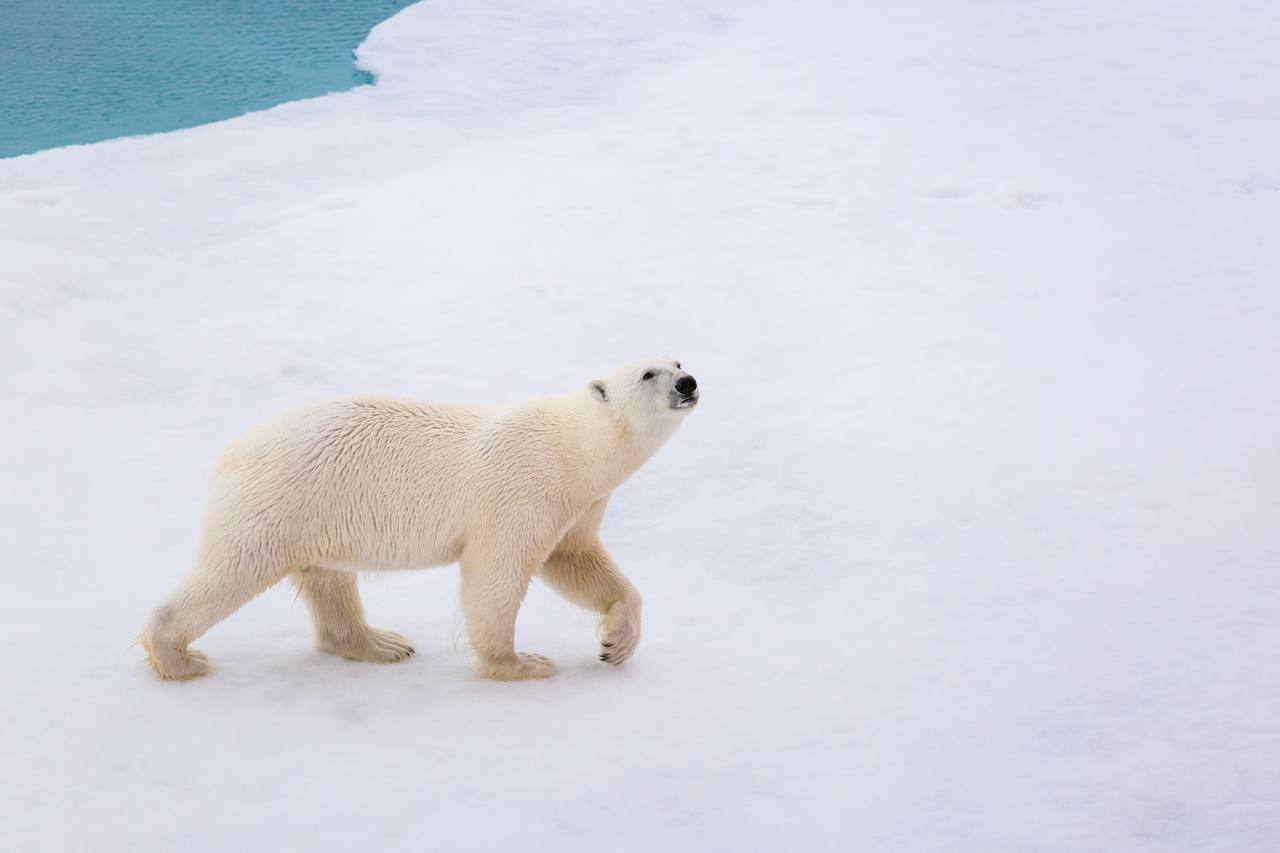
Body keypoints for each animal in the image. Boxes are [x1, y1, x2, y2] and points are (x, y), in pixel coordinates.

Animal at [141, 356, 701, 681]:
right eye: (648, 373)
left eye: (676, 358)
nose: (688, 382)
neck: (570, 450)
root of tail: (232, 451)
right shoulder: (520, 493)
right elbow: (495, 576)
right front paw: (520, 663)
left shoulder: (577, 505)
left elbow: (577, 562)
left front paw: (616, 642)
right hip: (280, 500)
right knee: (233, 569)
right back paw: (179, 658)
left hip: (315, 512)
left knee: (328, 579)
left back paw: (380, 643)